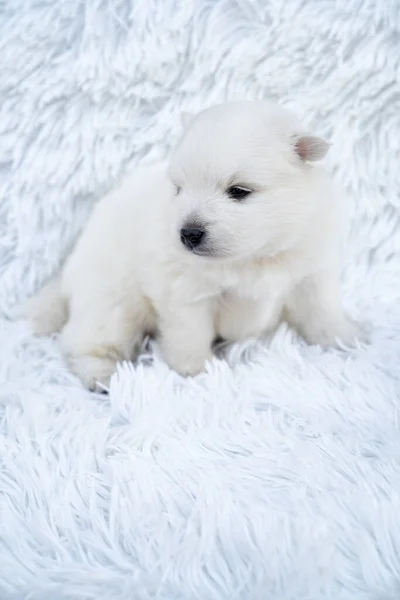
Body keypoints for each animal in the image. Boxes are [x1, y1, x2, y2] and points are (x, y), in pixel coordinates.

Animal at [21, 101, 360, 390]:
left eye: (239, 191)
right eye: (179, 188)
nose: (188, 234)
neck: (254, 257)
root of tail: (67, 273)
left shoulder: (312, 269)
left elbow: (322, 310)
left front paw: (344, 338)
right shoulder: (185, 291)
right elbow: (190, 333)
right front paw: (199, 371)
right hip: (110, 299)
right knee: (86, 338)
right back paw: (101, 375)